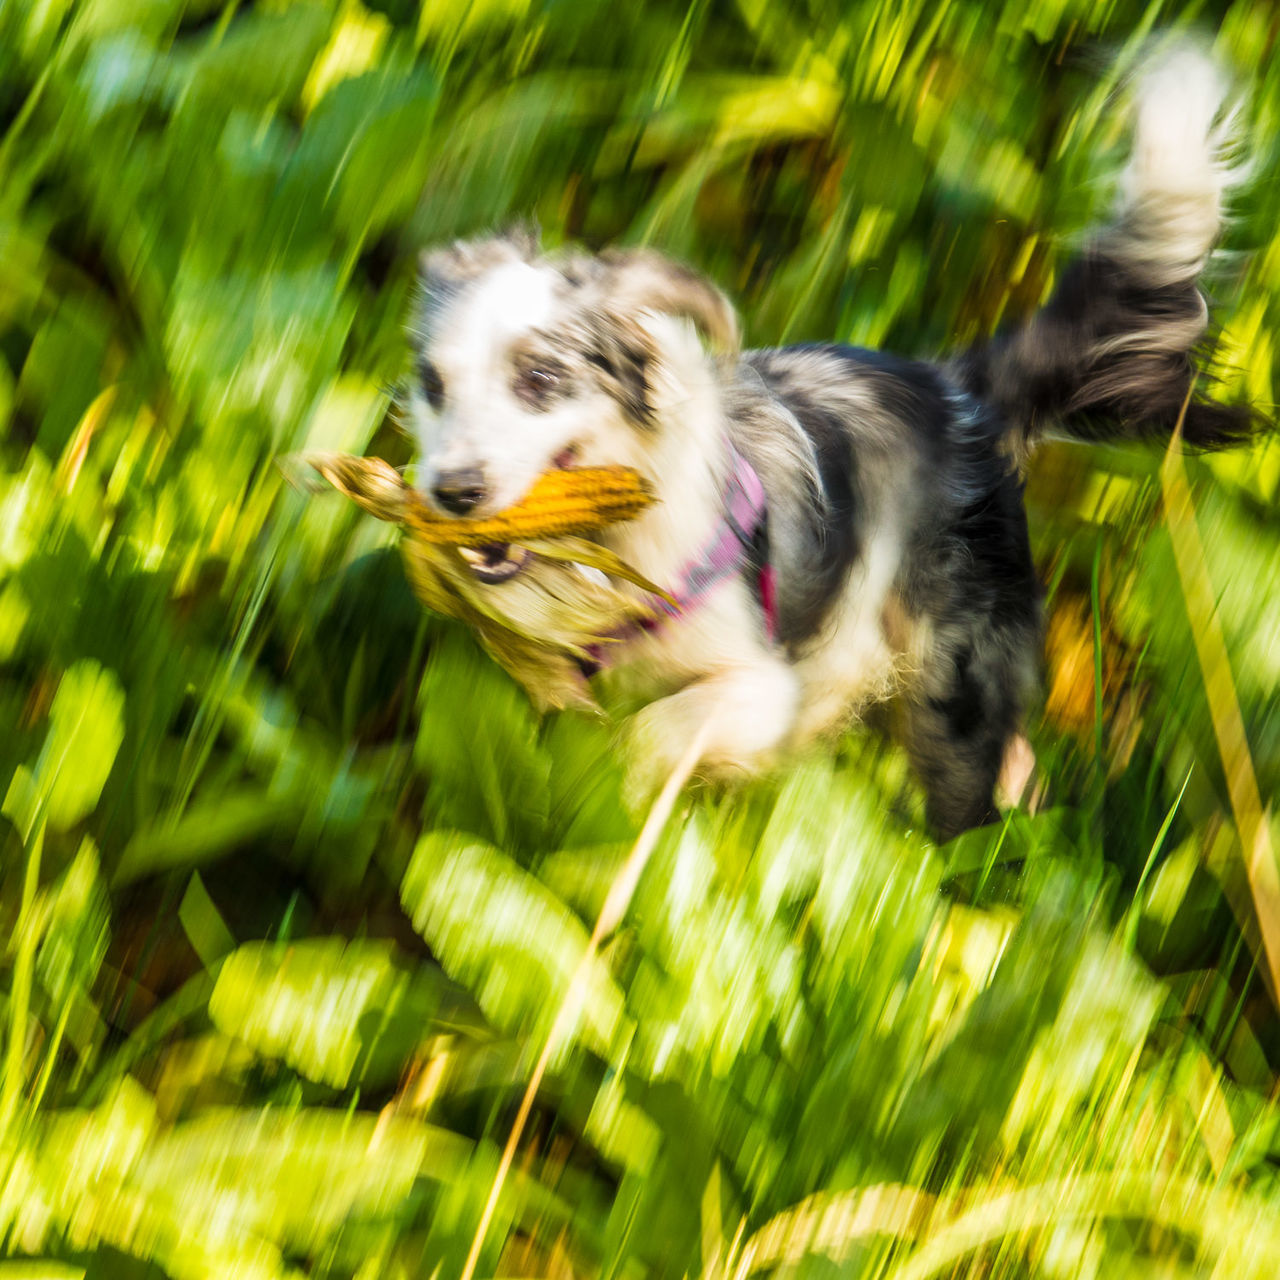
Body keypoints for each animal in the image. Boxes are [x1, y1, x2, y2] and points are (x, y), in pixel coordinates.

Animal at [407, 47, 1259, 839]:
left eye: (539, 378)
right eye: (433, 384)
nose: (453, 492)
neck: (607, 551)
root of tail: (959, 393)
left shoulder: (761, 686)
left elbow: (645, 738)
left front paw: (624, 809)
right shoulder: (544, 679)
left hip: (947, 682)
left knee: (965, 796)